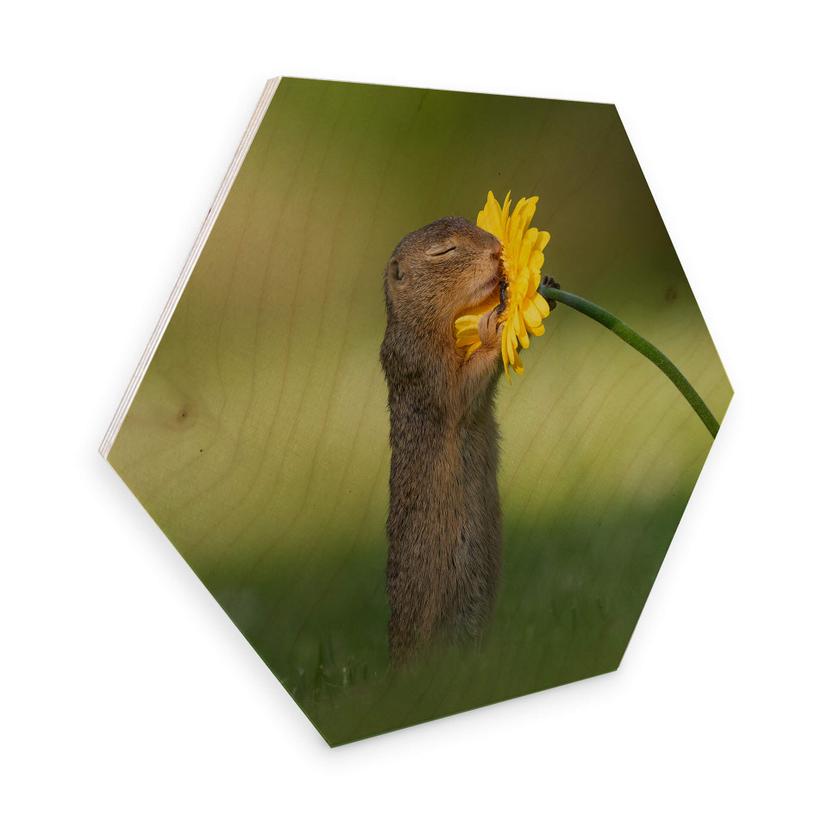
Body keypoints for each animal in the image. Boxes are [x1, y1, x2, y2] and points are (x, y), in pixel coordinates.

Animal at [380, 217, 506, 665]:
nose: (497, 250)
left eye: (472, 223)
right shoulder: (424, 366)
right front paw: (494, 324)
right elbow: (462, 391)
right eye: (444, 252)